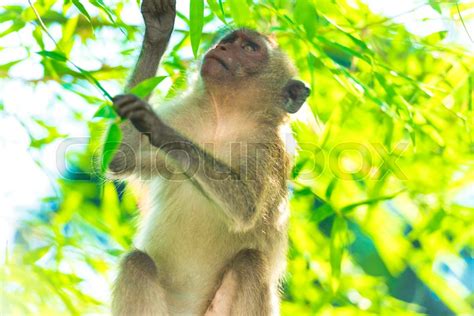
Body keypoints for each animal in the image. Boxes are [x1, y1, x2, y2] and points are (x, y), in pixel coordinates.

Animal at [109, 1, 312, 314]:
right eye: (230, 40)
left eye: (250, 48)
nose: (222, 47)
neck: (225, 118)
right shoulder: (186, 114)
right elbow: (121, 158)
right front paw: (157, 32)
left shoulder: (270, 148)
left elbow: (245, 207)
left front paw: (158, 127)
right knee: (137, 262)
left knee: (250, 261)